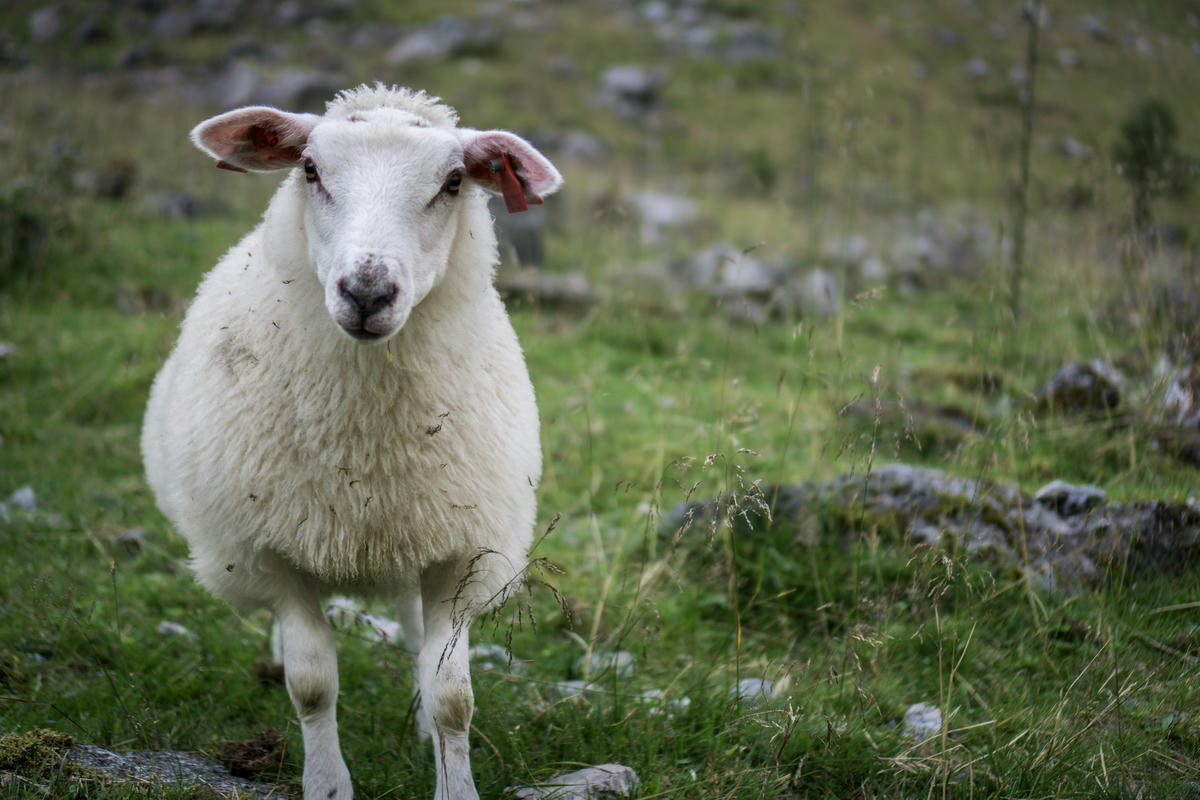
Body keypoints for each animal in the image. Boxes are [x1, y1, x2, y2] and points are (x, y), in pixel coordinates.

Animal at [142, 82, 564, 800]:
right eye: (310, 170)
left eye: (454, 181)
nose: (367, 292)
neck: (364, 445)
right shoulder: (271, 553)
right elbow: (313, 684)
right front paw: (327, 783)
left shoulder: (458, 552)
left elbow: (454, 696)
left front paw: (453, 777)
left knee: (418, 636)